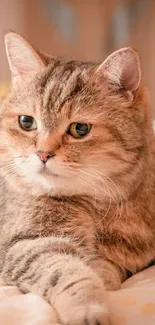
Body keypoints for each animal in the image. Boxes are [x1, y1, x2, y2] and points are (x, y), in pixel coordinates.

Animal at [0, 32, 155, 324]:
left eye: (80, 129)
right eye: (27, 122)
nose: (43, 154)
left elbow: (108, 268)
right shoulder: (23, 244)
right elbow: (70, 273)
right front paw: (88, 307)